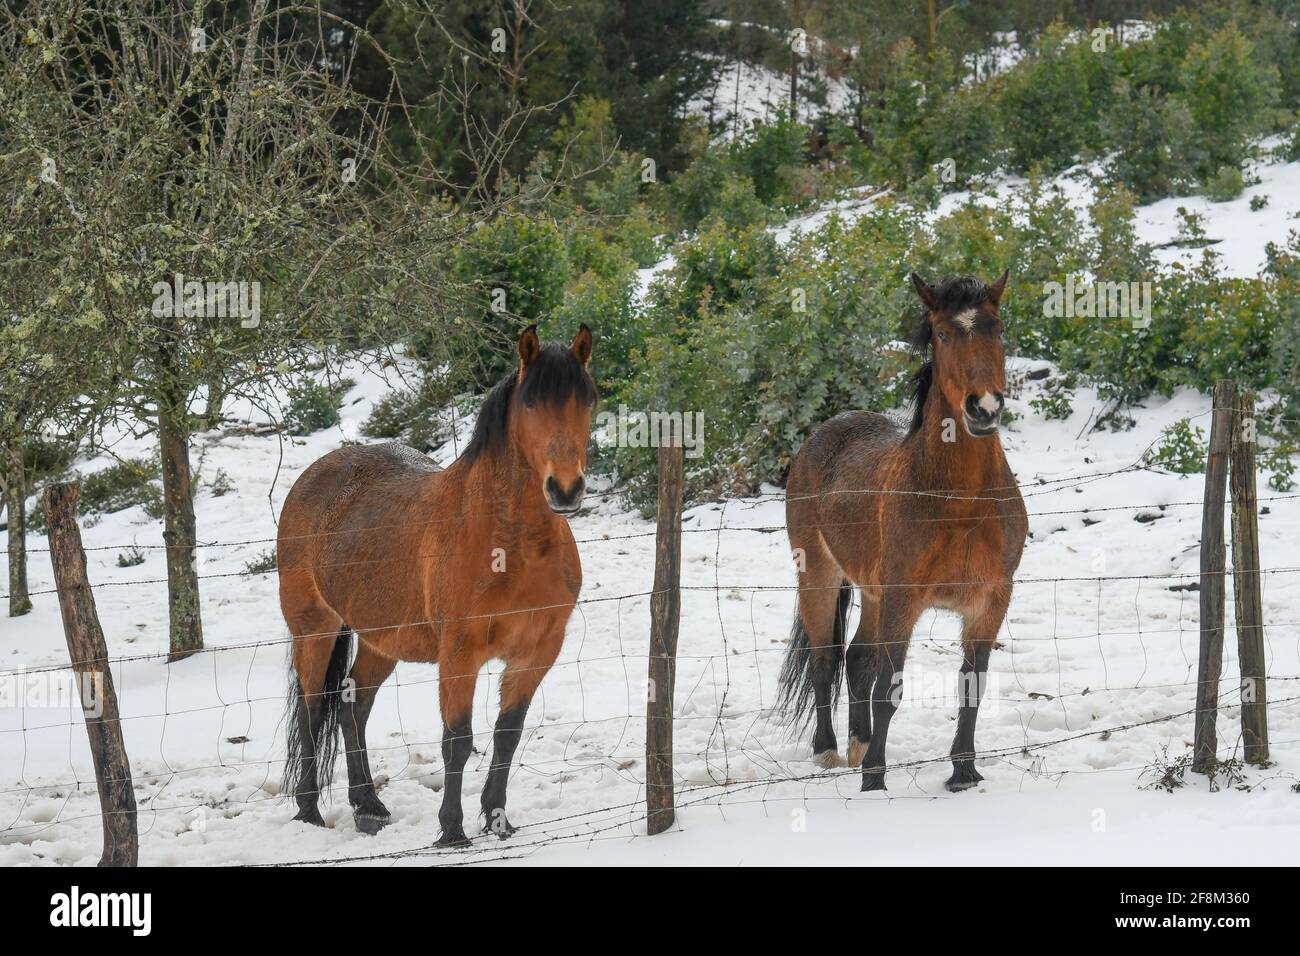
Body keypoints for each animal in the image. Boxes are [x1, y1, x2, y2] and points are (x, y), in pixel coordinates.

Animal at [279, 323, 598, 842]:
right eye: (531, 402)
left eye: (588, 398)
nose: (565, 489)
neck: (511, 547)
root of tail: (314, 477)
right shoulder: (459, 653)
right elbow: (458, 740)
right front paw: (452, 831)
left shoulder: (537, 651)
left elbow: (507, 735)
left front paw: (498, 820)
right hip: (313, 629)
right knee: (310, 714)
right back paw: (308, 811)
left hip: (381, 640)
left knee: (351, 705)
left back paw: (368, 805)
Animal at [774, 270, 1029, 790]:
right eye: (942, 333)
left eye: (996, 327)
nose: (984, 408)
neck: (961, 502)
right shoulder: (904, 599)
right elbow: (889, 689)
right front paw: (874, 779)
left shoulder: (991, 599)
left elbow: (972, 684)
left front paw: (964, 772)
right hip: (820, 577)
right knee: (826, 659)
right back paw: (830, 751)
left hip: (873, 593)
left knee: (856, 659)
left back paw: (858, 743)